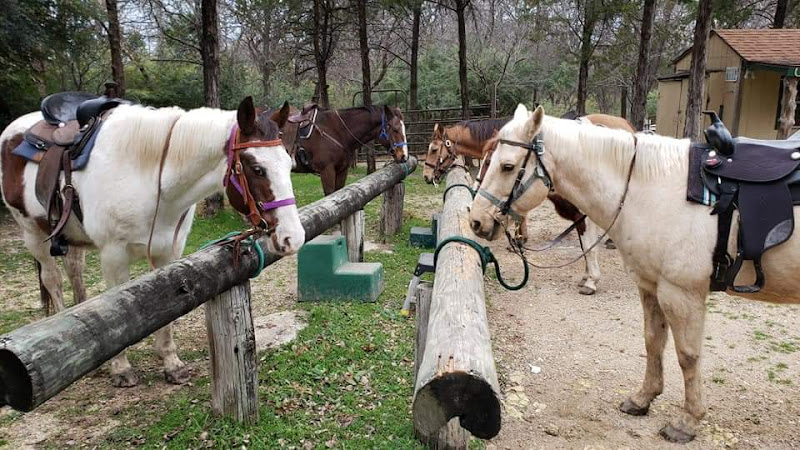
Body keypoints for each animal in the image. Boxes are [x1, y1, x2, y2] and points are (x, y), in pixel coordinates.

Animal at [0, 96, 306, 388]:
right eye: (257, 168)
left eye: (288, 164)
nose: (294, 237)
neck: (149, 178)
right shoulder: (113, 256)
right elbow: (115, 313)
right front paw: (121, 369)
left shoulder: (168, 252)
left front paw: (172, 364)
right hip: (33, 234)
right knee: (53, 280)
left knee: (75, 272)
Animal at [468, 104, 800, 442]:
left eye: (507, 166)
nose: (476, 221)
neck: (655, 191)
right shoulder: (651, 285)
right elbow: (653, 341)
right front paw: (643, 399)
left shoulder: (682, 294)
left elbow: (688, 355)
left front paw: (687, 421)